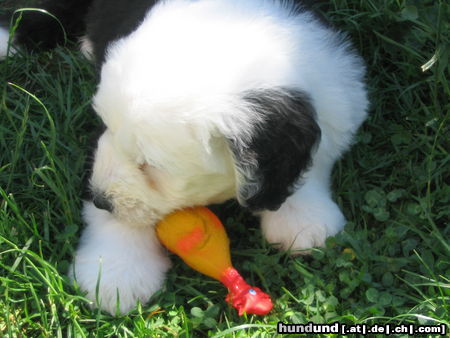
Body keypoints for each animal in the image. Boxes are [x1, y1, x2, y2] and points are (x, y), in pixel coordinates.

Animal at [0, 0, 370, 314]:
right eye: (105, 125)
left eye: (151, 165)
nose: (101, 198)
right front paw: (118, 275)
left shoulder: (335, 95)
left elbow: (310, 161)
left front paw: (303, 219)